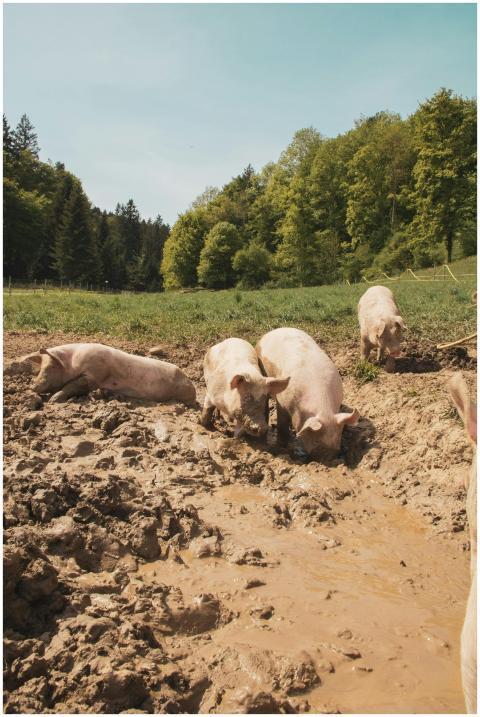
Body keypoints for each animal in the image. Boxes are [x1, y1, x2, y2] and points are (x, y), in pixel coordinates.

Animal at [22, 343, 196, 405]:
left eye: (51, 367)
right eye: (40, 367)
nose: (33, 386)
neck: (73, 363)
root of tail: (190, 382)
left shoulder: (94, 374)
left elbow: (73, 385)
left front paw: (53, 400)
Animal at [256, 327, 358, 458]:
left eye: (338, 438)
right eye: (315, 439)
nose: (329, 456)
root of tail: (275, 330)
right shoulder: (282, 402)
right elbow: (282, 425)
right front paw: (281, 447)